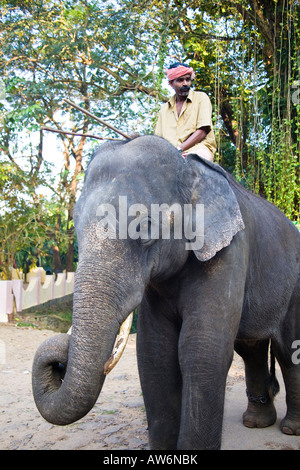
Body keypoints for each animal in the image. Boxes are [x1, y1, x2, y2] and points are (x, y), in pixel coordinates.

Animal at [32, 134, 300, 450]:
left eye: (145, 227)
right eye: (75, 228)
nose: (60, 362)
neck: (190, 168)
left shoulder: (230, 250)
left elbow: (202, 351)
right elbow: (155, 351)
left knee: (288, 349)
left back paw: (290, 429)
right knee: (252, 349)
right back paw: (256, 423)